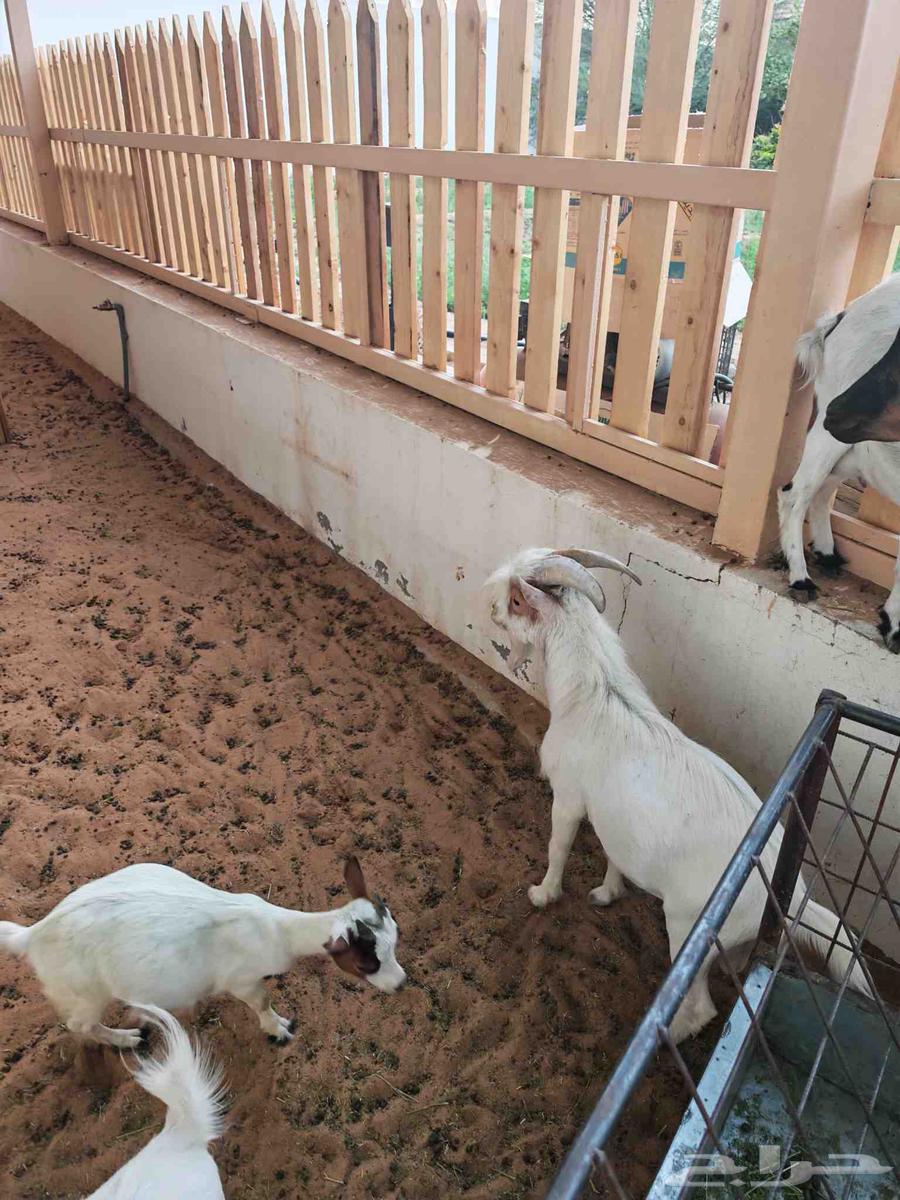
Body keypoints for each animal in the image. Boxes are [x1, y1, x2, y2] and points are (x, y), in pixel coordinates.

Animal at [0, 856, 405, 1050]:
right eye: (367, 963)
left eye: (395, 938)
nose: (402, 984)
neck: (274, 930)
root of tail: (34, 934)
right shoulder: (242, 979)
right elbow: (262, 1002)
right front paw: (279, 1030)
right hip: (83, 990)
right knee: (79, 1024)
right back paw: (127, 1039)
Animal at [486, 548, 872, 1041]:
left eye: (517, 601)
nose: (491, 608)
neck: (592, 698)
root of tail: (787, 894)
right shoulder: (617, 816)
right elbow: (616, 852)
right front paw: (607, 893)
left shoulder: (570, 797)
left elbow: (558, 846)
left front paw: (543, 894)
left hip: (689, 926)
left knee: (701, 1005)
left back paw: (671, 1034)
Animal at [777, 272, 900, 650]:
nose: (840, 411)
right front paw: (894, 625)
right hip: (830, 435)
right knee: (794, 493)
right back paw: (801, 578)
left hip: (853, 449)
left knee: (822, 489)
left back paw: (827, 552)